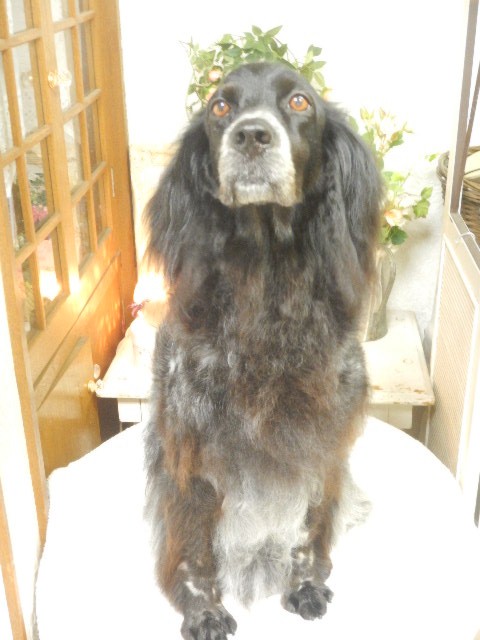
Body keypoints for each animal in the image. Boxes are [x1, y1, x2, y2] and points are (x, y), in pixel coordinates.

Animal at [143, 61, 382, 640]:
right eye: (220, 107)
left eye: (299, 102)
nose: (251, 135)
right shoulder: (190, 447)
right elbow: (197, 551)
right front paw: (204, 611)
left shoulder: (322, 444)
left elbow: (308, 529)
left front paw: (305, 585)